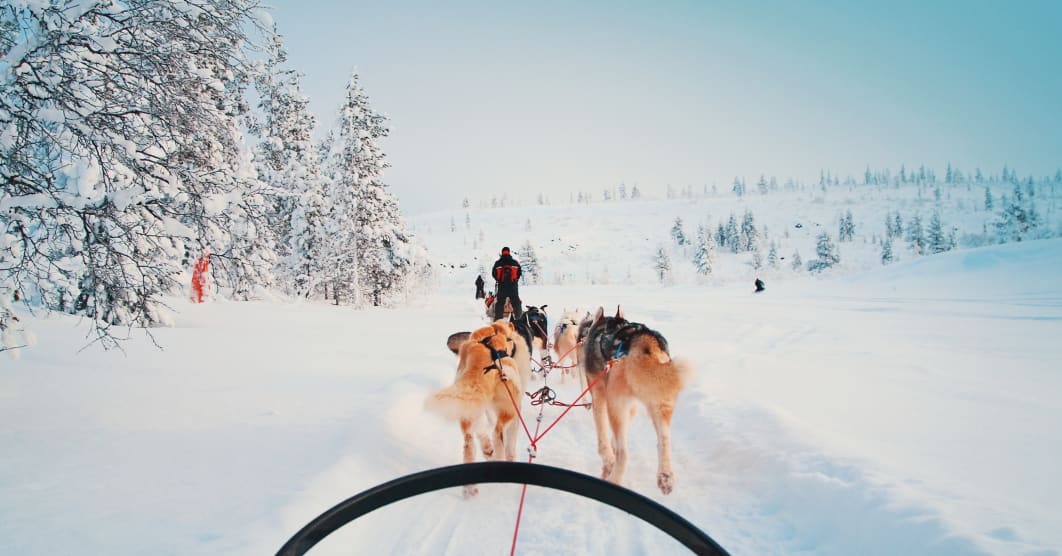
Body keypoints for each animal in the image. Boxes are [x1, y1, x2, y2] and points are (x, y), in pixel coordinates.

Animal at [429, 318, 528, 496]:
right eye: (511, 339)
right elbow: (510, 443)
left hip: (469, 408)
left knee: (471, 441)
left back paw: (472, 483)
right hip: (509, 407)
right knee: (497, 432)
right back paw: (498, 458)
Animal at [577, 305, 692, 492]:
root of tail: (644, 339)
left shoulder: (599, 394)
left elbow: (603, 433)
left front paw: (608, 457)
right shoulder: (632, 406)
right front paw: (613, 445)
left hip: (615, 403)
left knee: (624, 454)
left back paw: (614, 479)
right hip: (660, 403)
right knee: (663, 440)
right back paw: (665, 476)